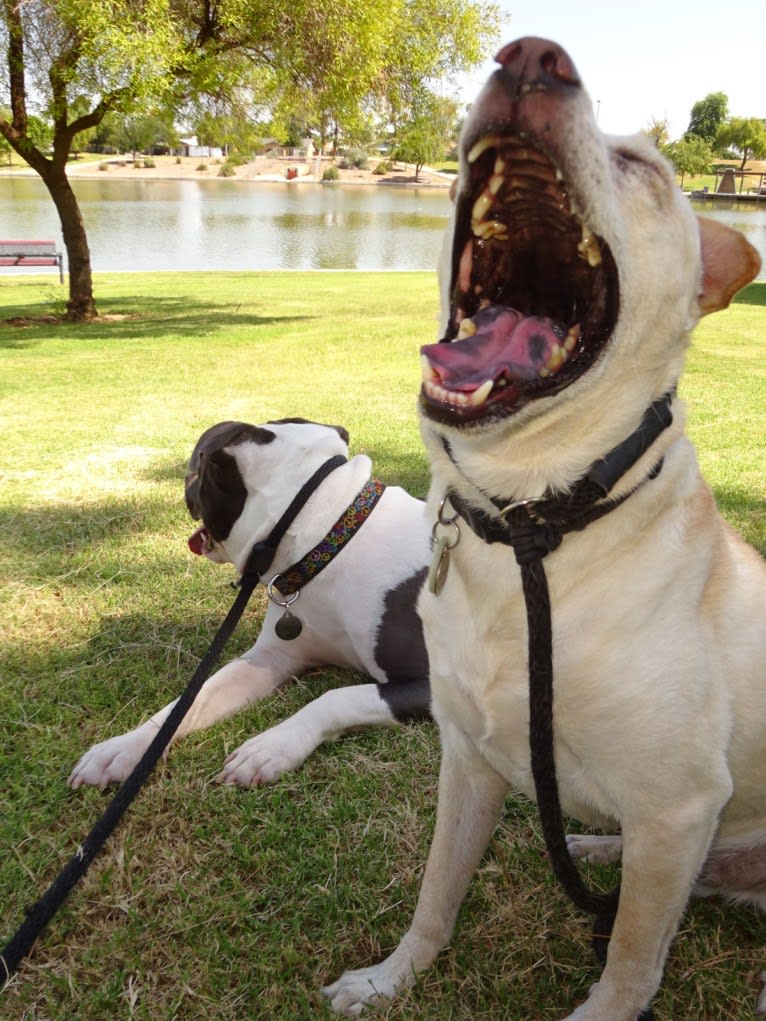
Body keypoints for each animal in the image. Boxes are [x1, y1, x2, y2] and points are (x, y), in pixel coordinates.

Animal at [68, 414, 433, 788]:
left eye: (196, 469)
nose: (185, 481)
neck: (328, 537)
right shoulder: (271, 657)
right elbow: (191, 700)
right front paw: (126, 747)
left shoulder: (430, 686)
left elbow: (336, 698)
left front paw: (271, 747)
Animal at [324, 35, 766, 1016]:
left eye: (647, 169)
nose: (533, 57)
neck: (532, 521)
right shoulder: (467, 758)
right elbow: (437, 891)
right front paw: (389, 978)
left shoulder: (679, 806)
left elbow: (631, 958)